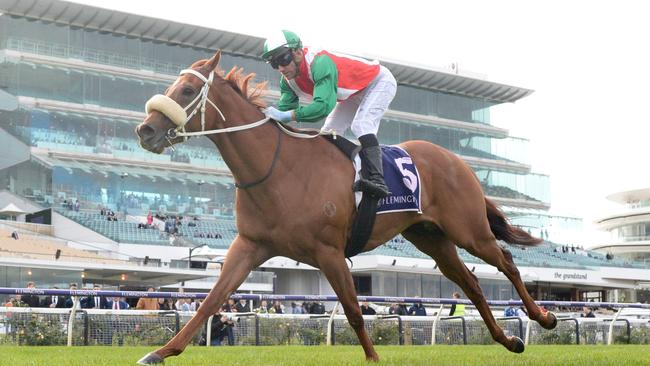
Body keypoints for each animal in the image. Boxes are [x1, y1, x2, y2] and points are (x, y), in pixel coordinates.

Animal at [134, 51, 556, 364]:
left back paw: (544, 317)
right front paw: (160, 352)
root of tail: (457, 161)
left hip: (468, 230)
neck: (277, 168)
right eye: (171, 87)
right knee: (471, 284)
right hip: (431, 237)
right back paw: (509, 341)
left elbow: (353, 309)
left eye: (188, 90)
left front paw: (373, 358)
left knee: (506, 261)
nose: (145, 130)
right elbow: (210, 302)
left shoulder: (329, 251)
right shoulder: (250, 246)